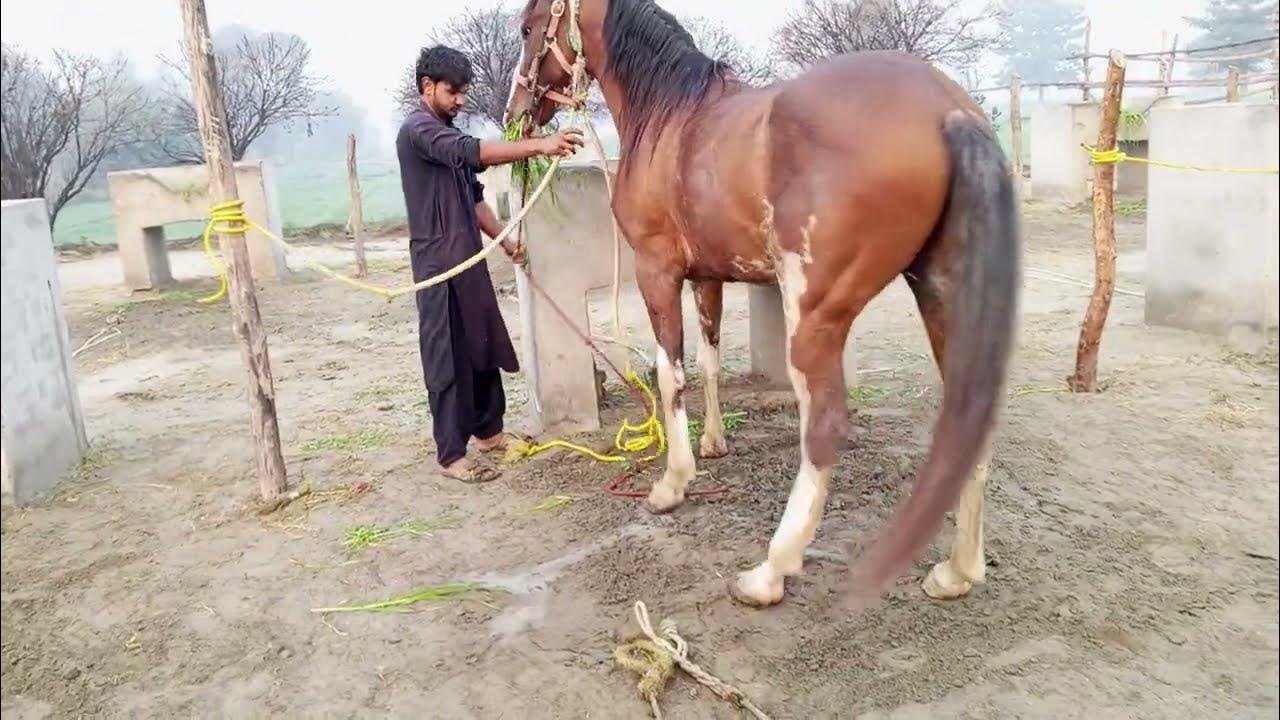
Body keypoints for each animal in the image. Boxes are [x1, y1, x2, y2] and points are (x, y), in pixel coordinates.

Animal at [505, 0, 1020, 608]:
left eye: (528, 27)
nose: (516, 112)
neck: (669, 117)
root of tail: (949, 110)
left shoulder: (657, 272)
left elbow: (669, 373)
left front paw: (672, 483)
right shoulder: (706, 278)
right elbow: (707, 361)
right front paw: (713, 443)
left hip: (815, 314)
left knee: (824, 425)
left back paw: (771, 571)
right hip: (942, 294)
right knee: (968, 416)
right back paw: (958, 571)